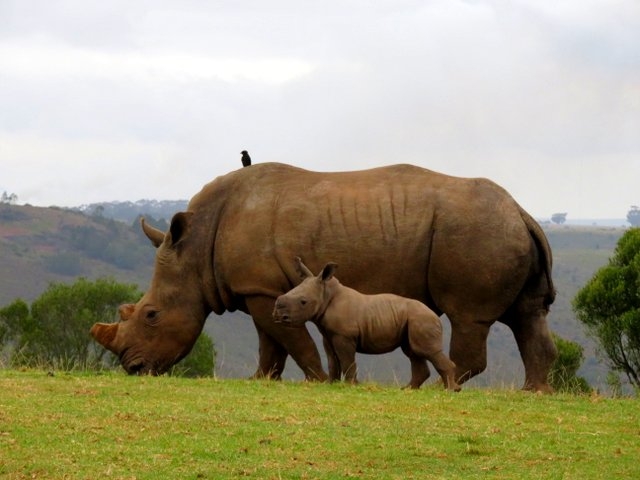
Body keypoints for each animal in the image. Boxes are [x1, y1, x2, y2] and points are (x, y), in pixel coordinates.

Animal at [272, 258, 462, 390]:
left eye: (303, 302)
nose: (278, 315)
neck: (327, 294)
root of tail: (435, 315)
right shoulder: (328, 334)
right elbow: (332, 360)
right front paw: (331, 384)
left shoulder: (344, 335)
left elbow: (347, 359)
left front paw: (350, 385)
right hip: (414, 319)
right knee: (413, 351)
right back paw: (408, 389)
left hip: (422, 319)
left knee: (426, 350)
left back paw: (450, 390)